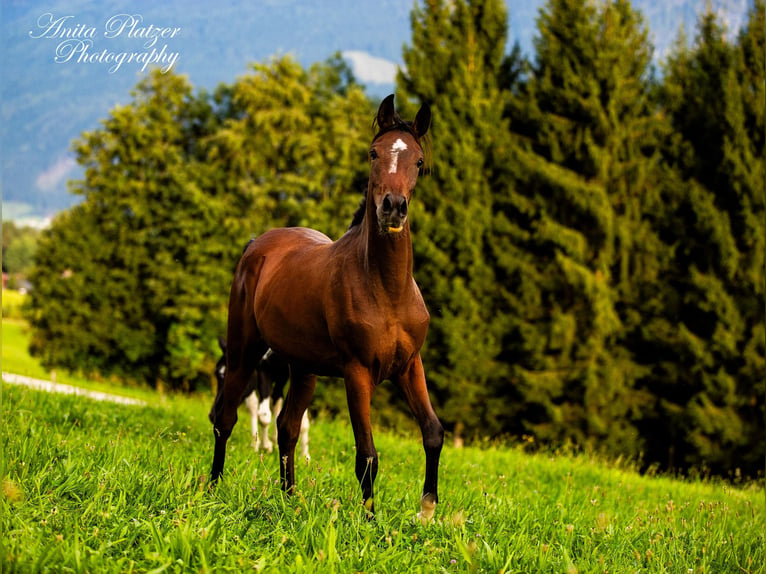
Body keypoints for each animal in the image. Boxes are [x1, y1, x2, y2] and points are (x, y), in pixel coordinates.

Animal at [210, 93, 444, 520]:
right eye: (373, 153)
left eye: (418, 161)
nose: (393, 208)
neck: (386, 289)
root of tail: (257, 244)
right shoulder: (358, 373)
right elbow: (367, 454)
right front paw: (370, 520)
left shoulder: (410, 366)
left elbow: (433, 432)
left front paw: (426, 513)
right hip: (244, 352)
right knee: (226, 417)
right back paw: (214, 488)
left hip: (303, 369)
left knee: (287, 426)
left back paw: (289, 499)